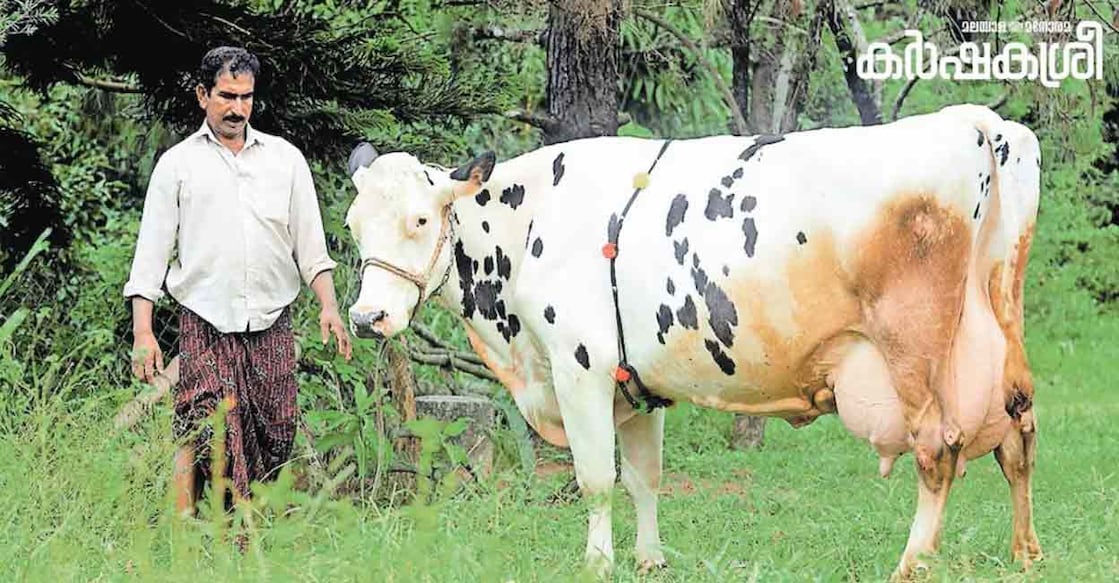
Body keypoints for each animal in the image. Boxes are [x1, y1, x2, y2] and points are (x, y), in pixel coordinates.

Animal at [343, 104, 1041, 578]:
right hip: (1003, 336)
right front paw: (650, 559)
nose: (367, 316)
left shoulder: (580, 370)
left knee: (939, 451)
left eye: (421, 219)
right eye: (352, 225)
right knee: (1018, 435)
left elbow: (597, 479)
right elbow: (644, 478)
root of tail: (973, 120)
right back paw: (1024, 552)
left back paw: (912, 561)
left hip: (913, 351)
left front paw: (598, 562)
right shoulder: (634, 384)